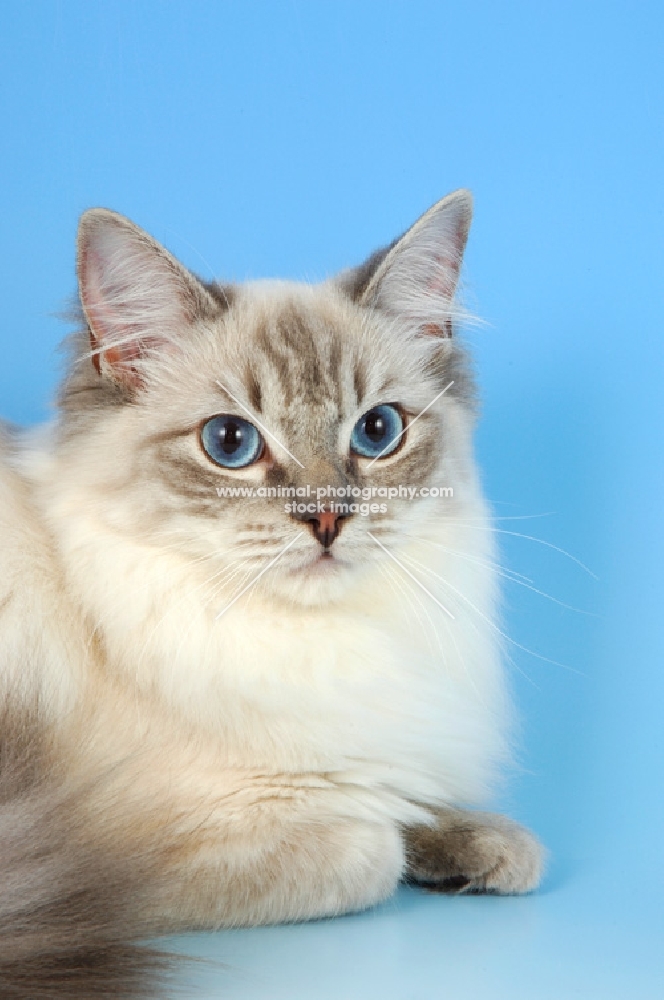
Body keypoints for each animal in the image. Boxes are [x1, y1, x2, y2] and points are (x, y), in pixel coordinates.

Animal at [0, 191, 544, 996]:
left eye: (377, 431)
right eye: (230, 443)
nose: (327, 520)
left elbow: (419, 802)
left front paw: (487, 850)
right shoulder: (109, 842)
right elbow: (372, 848)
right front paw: (409, 848)